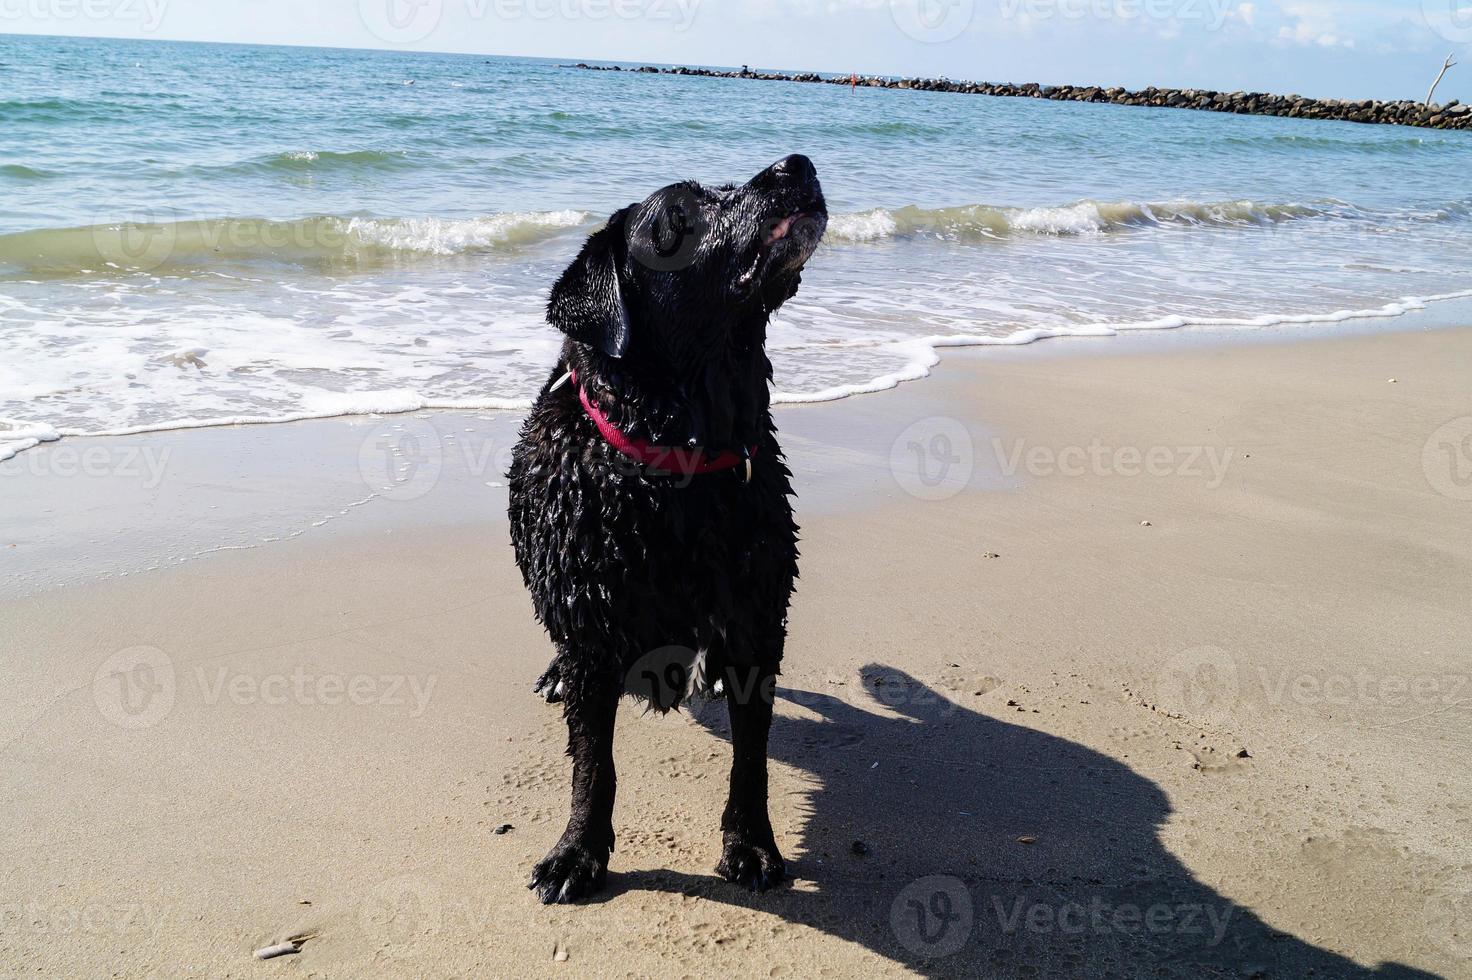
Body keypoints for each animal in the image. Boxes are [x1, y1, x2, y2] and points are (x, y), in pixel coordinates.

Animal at [509, 154, 830, 900]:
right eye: (682, 213)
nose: (797, 164)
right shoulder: (591, 629)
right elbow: (592, 762)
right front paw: (577, 852)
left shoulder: (755, 619)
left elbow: (751, 756)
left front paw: (752, 845)